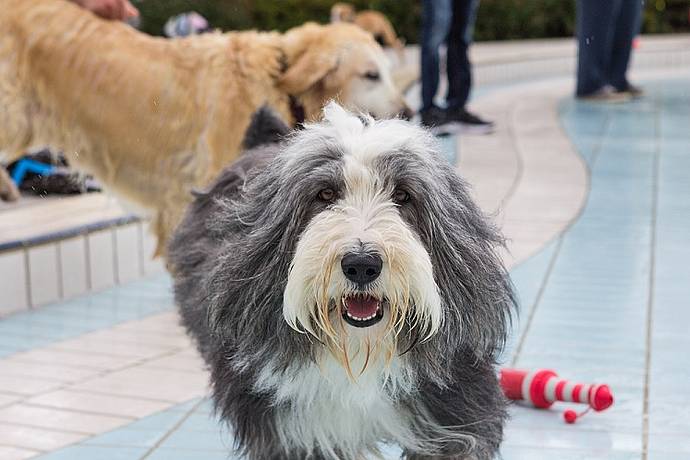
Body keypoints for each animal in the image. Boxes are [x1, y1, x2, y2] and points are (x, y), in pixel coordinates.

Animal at [169, 104, 512, 460]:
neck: (359, 351)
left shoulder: (456, 413)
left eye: (403, 195)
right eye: (325, 194)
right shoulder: (293, 433)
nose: (361, 265)